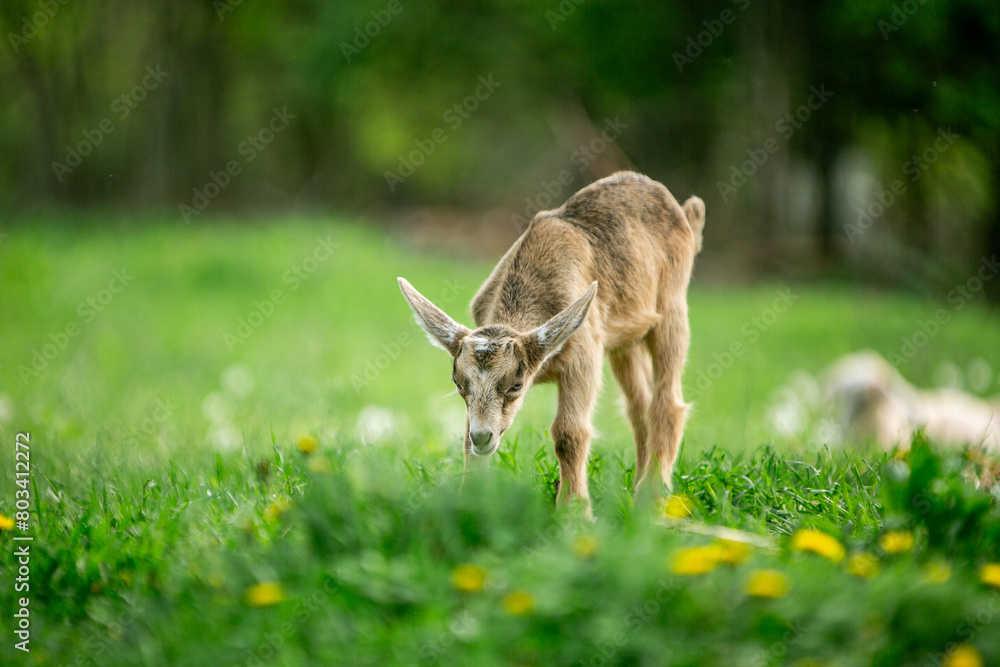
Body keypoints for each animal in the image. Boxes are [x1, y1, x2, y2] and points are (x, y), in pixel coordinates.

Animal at [398, 171, 705, 513]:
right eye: (457, 382)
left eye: (516, 385)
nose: (483, 437)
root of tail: (684, 212)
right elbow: (465, 436)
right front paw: (468, 500)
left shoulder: (584, 355)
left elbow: (568, 432)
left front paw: (575, 510)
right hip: (626, 339)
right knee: (639, 405)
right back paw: (638, 489)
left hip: (672, 308)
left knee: (667, 400)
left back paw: (654, 496)